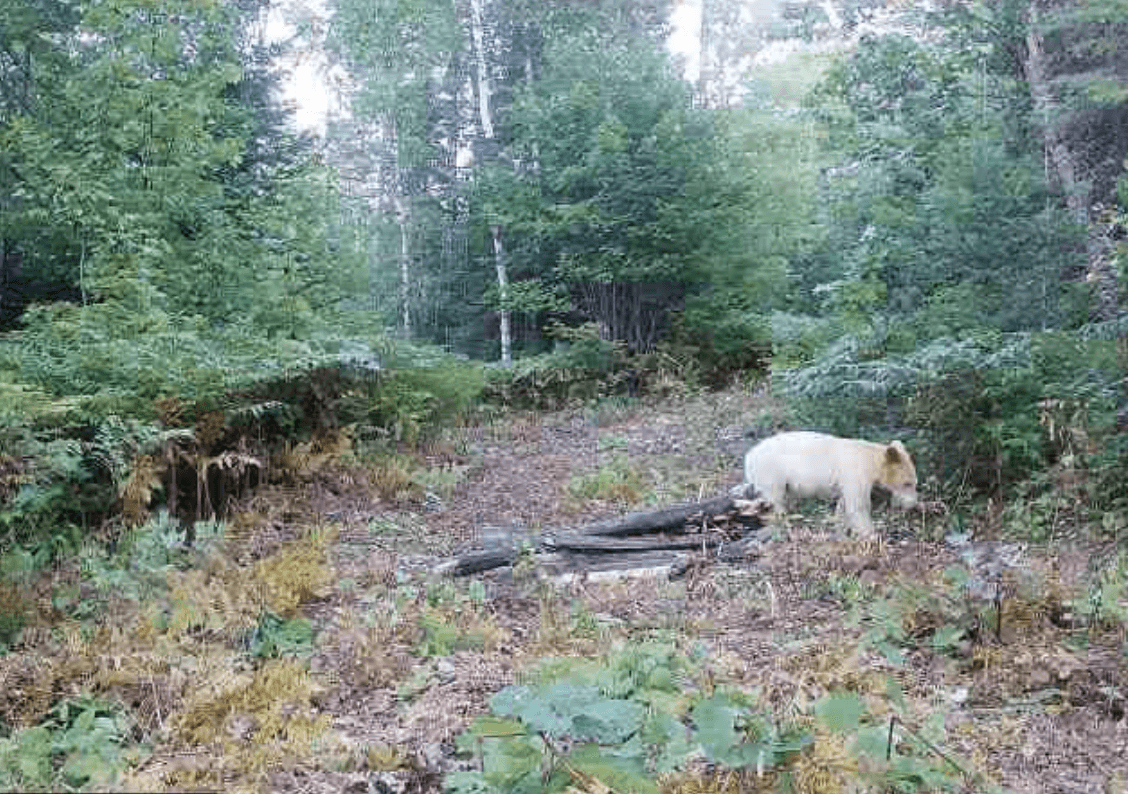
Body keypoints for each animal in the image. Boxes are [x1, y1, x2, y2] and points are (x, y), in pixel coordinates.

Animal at [736, 431, 918, 538]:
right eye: (907, 483)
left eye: (914, 482)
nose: (913, 504)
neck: (870, 459)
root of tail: (749, 456)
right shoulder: (854, 473)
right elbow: (858, 505)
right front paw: (871, 534)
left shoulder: (847, 480)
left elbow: (844, 503)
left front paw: (841, 527)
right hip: (772, 472)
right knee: (777, 498)